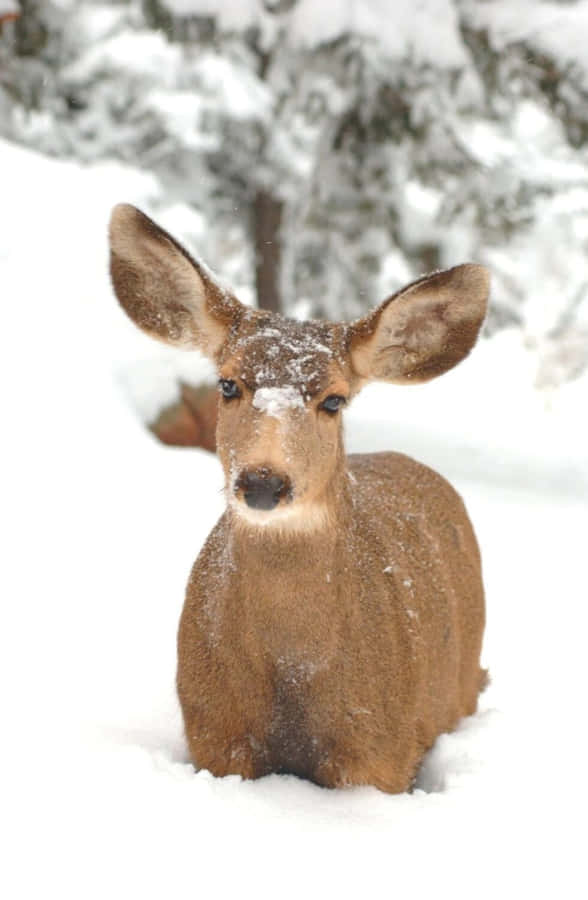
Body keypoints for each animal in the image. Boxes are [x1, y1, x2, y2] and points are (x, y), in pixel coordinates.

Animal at [109, 203, 489, 793]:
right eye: (227, 385)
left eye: (334, 400)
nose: (264, 482)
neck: (293, 673)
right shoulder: (215, 734)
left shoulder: (380, 749)